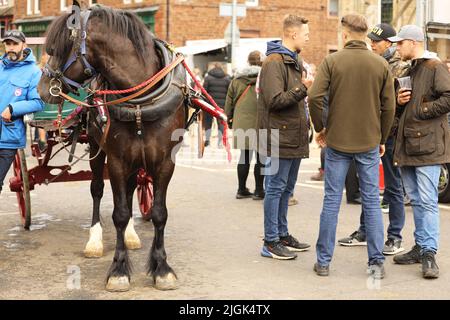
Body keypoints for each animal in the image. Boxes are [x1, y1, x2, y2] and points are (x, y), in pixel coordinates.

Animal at [37, 3, 186, 292]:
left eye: (57, 47)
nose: (40, 89)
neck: (141, 102)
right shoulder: (116, 160)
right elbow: (118, 213)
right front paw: (118, 270)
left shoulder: (165, 161)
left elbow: (159, 213)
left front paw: (162, 268)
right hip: (99, 148)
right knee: (97, 189)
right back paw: (94, 239)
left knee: (131, 189)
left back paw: (131, 235)